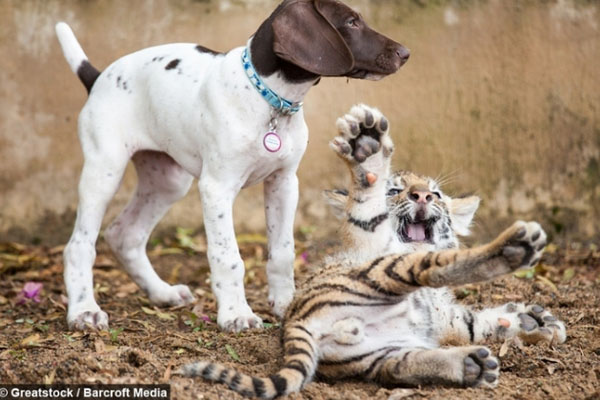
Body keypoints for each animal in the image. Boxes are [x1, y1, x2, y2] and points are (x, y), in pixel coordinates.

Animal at [56, 0, 410, 332]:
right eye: (351, 22)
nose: (405, 53)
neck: (269, 99)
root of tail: (98, 77)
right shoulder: (217, 188)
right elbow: (228, 257)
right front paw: (236, 314)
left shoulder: (284, 182)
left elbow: (283, 252)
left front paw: (285, 304)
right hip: (105, 170)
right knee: (79, 245)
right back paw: (84, 310)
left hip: (167, 181)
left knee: (124, 234)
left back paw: (162, 293)